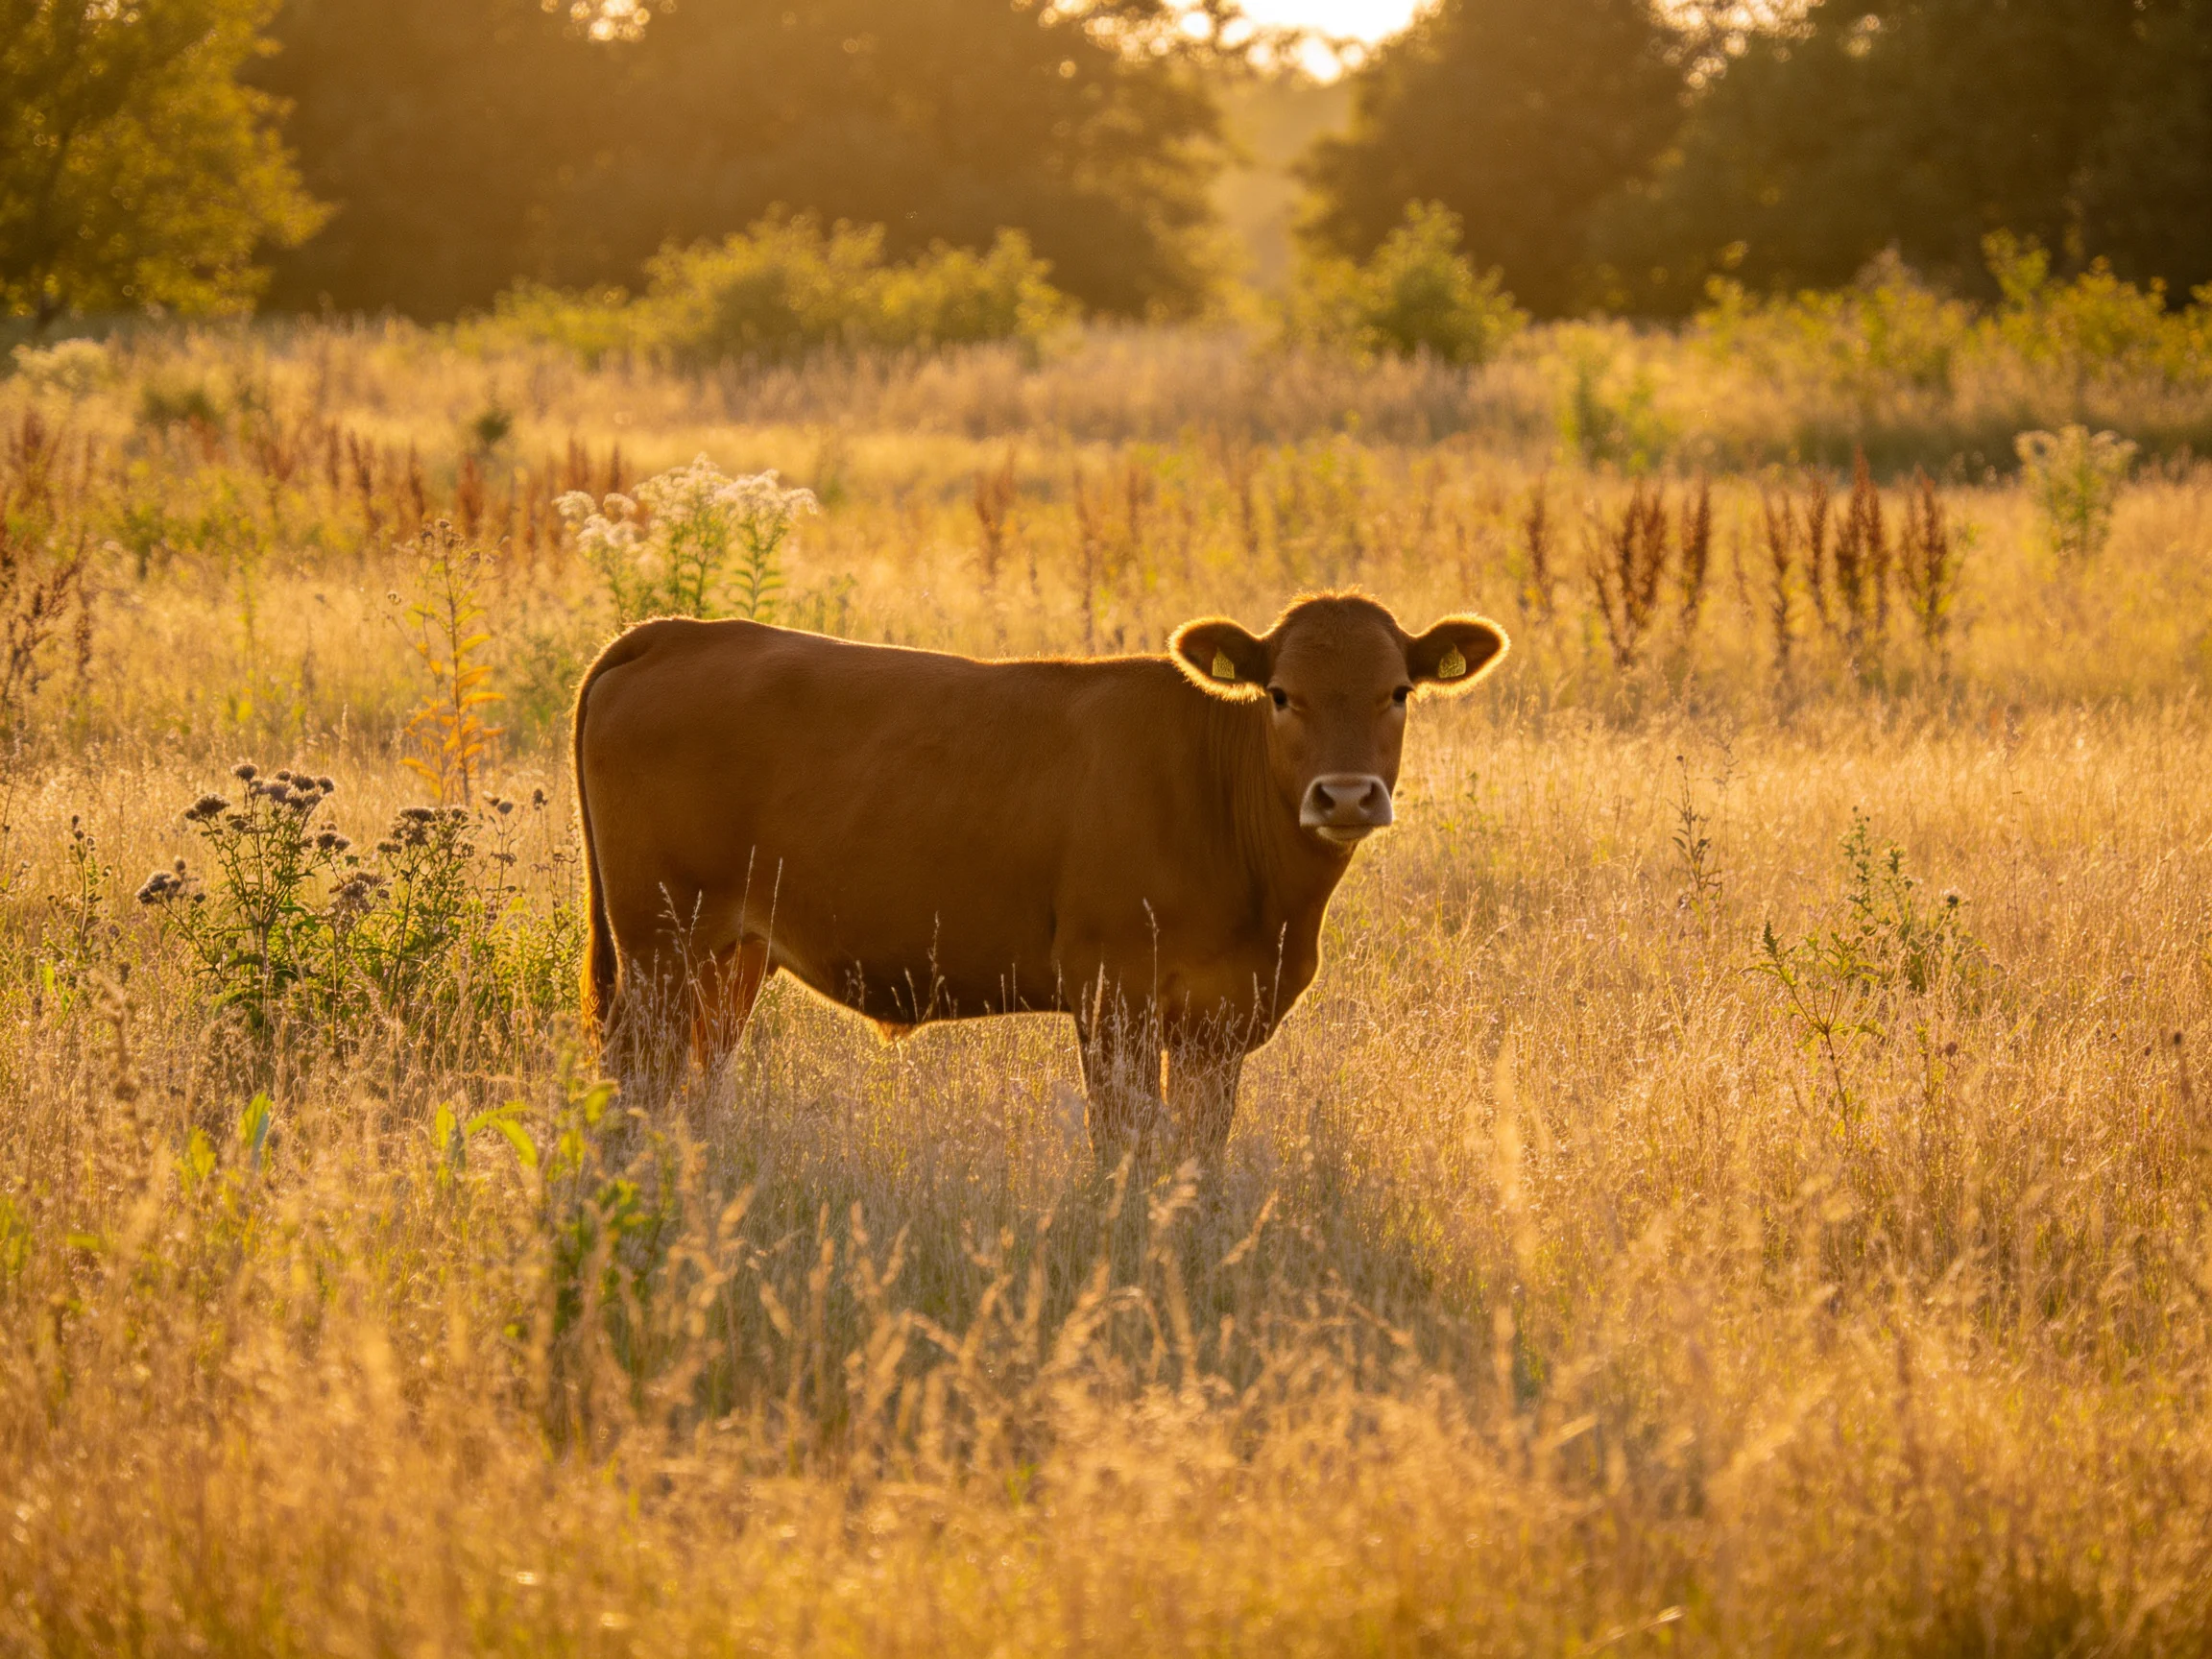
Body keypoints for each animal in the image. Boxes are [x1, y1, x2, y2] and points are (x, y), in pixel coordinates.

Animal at [571, 593, 1507, 1159]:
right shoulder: (1112, 989)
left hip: (731, 954)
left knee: (696, 1081)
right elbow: (1125, 1141)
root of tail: (681, 630)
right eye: (1281, 694)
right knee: (638, 1078)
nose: (1345, 794)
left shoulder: (1220, 1017)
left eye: (1397, 692)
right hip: (659, 944)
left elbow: (1198, 1149)